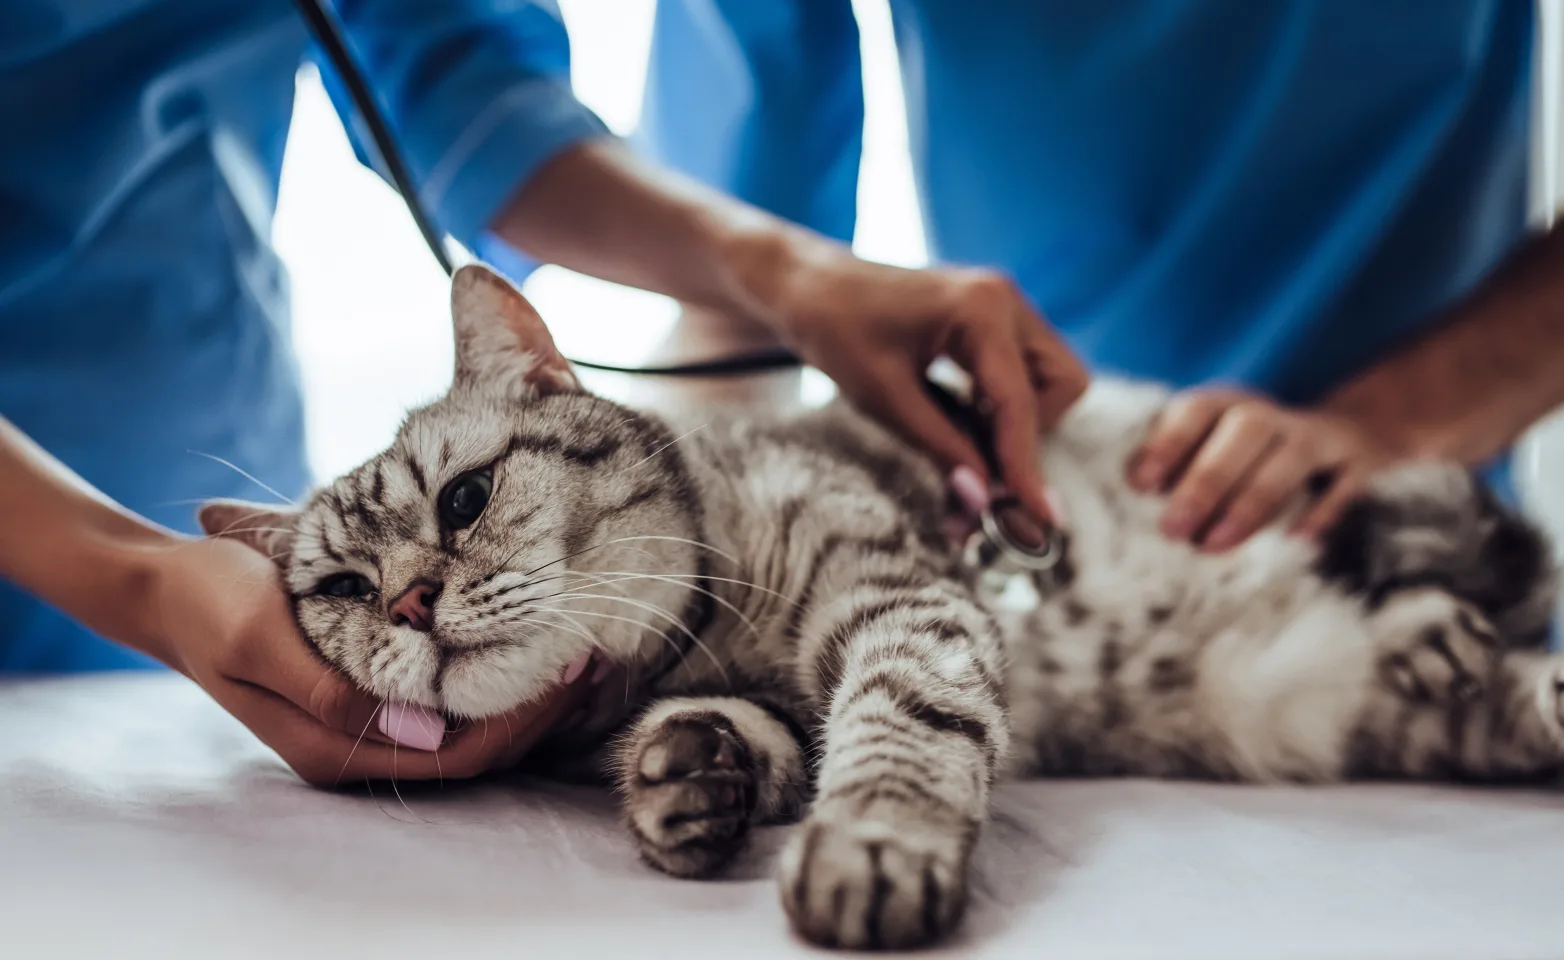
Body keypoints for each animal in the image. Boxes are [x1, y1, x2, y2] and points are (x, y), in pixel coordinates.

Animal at [204, 265, 1564, 956]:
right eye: (342, 588)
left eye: (466, 496)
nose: (410, 600)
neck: (693, 644)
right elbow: (748, 741)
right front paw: (686, 777)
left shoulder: (901, 598)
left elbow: (897, 725)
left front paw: (874, 844)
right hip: (1306, 697)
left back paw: (1429, 612)